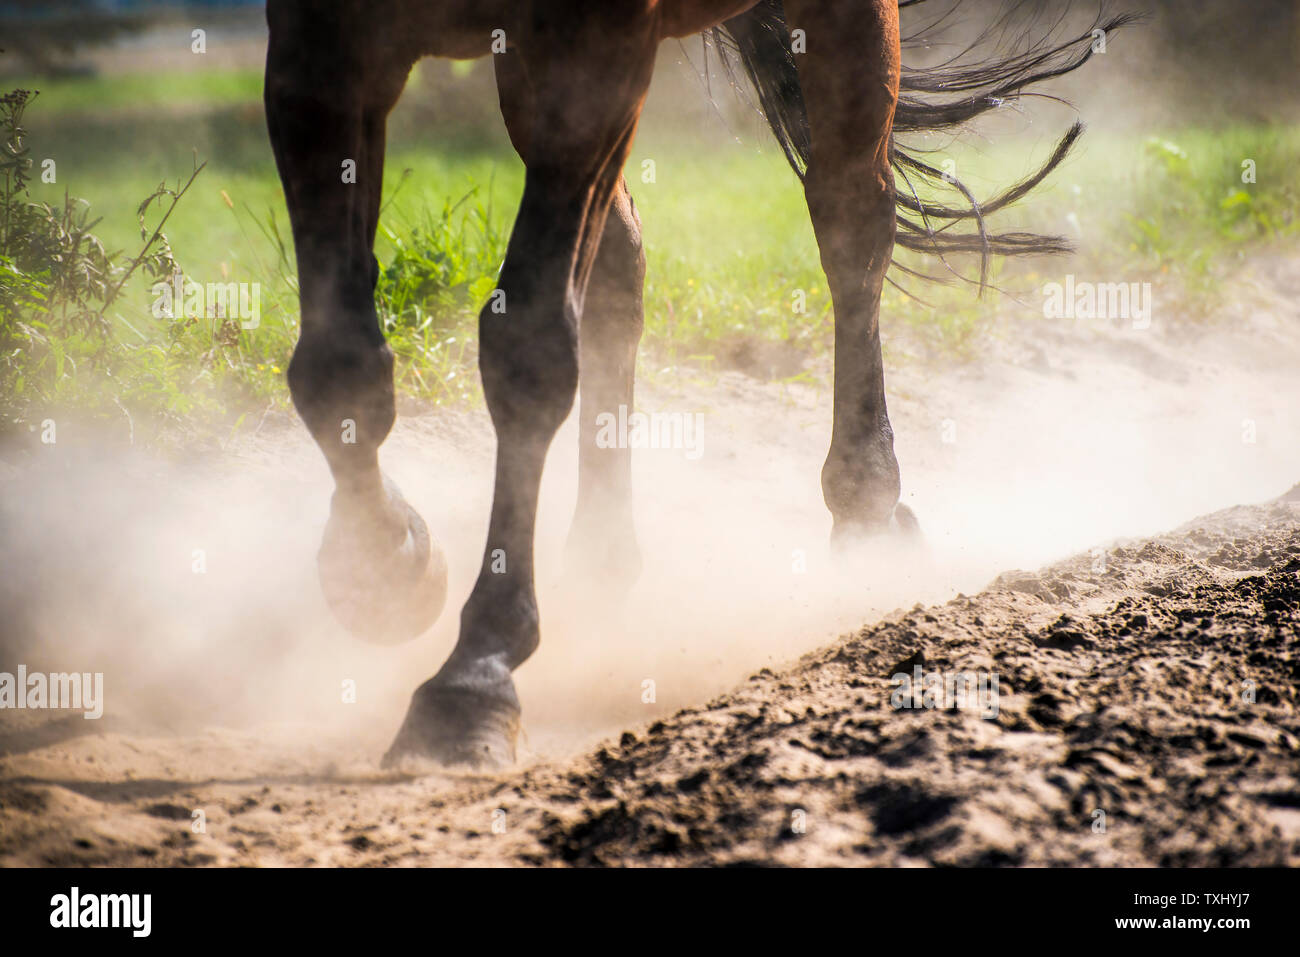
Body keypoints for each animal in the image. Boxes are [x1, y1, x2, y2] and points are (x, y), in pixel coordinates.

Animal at [263, 0, 1128, 764]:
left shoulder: (596, 44)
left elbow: (528, 349)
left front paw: (476, 674)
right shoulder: (320, 40)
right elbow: (336, 361)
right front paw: (383, 566)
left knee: (853, 217)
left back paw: (864, 510)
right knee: (623, 258)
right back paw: (602, 560)